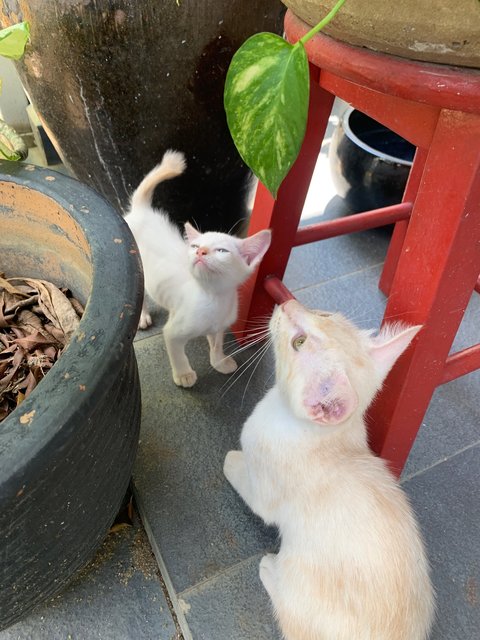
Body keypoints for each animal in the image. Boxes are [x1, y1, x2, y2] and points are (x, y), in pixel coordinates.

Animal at [124, 150, 270, 388]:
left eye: (222, 250)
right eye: (194, 247)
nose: (200, 251)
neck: (213, 299)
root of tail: (140, 211)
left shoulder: (220, 326)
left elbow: (217, 344)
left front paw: (219, 361)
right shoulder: (174, 331)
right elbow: (177, 352)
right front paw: (184, 374)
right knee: (139, 293)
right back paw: (143, 317)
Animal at [225, 302, 436, 640]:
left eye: (298, 342)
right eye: (324, 314)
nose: (287, 304)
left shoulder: (262, 492)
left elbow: (241, 475)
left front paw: (232, 459)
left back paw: (270, 568)